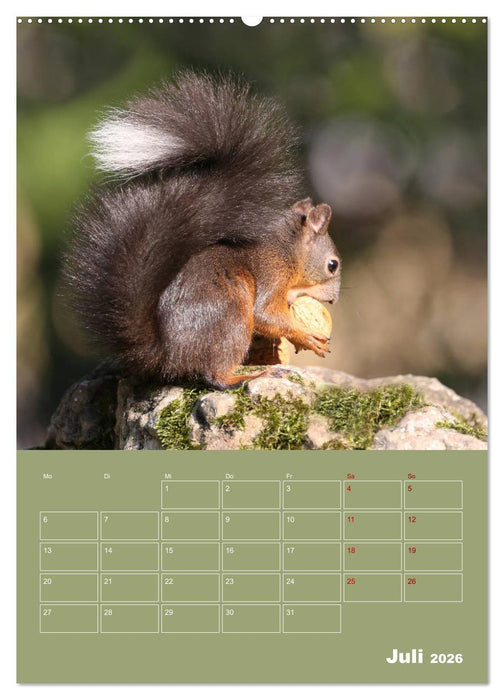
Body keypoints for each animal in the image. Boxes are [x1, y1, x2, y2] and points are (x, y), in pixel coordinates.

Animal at [64, 72, 341, 390]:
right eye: (333, 265)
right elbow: (265, 314)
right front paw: (306, 336)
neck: (287, 250)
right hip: (232, 317)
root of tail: (169, 355)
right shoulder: (272, 275)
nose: (334, 300)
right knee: (214, 375)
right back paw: (246, 376)